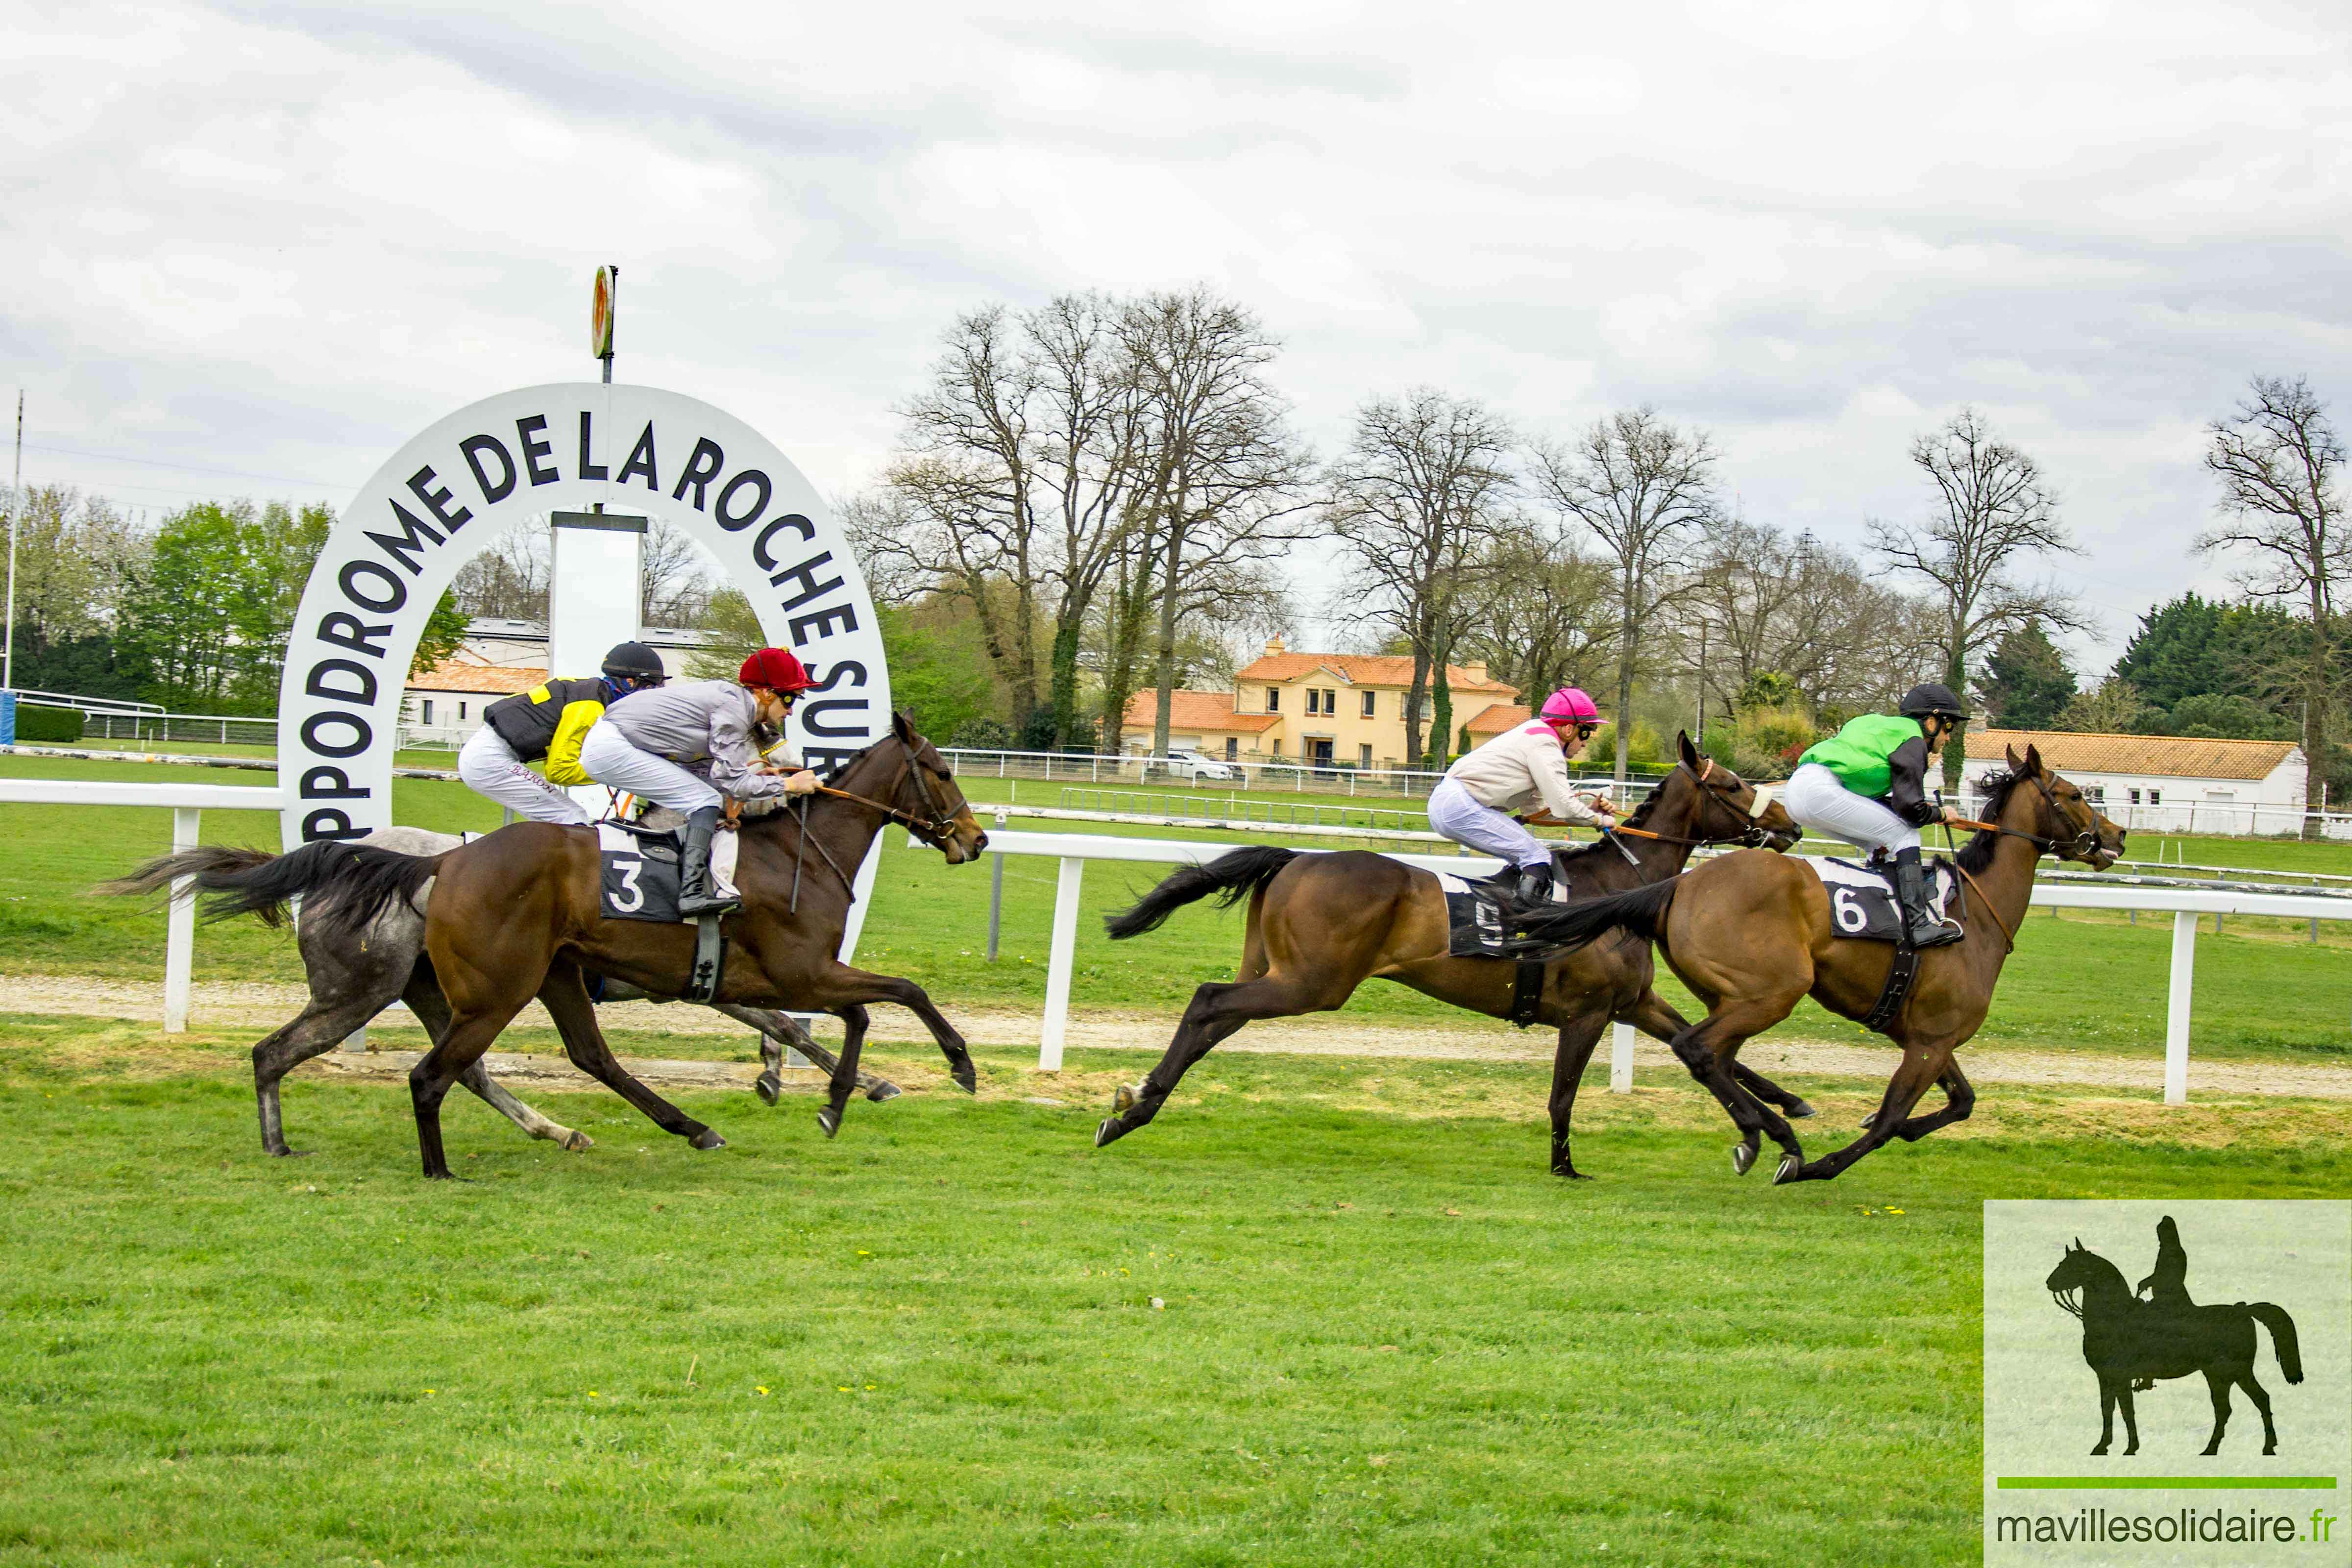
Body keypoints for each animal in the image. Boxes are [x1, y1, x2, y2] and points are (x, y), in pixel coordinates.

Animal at [112, 710, 983, 1175]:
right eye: (941, 772)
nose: (973, 841)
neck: (796, 852)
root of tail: (436, 864)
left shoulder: (755, 981)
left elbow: (835, 1019)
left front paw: (823, 1090)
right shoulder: (797, 971)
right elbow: (887, 1000)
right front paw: (929, 1073)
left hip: (507, 981)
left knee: (556, 1061)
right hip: (416, 987)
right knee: (378, 1065)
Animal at [1096, 738, 1797, 1175]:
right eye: (1733, 783)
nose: (1789, 826)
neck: (1616, 888)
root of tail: (1297, 856)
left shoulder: (1634, 1001)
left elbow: (1708, 1049)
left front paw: (1785, 1111)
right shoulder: (1589, 1012)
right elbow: (1564, 1095)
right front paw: (1566, 1166)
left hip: (1278, 972)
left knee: (1215, 1020)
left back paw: (1135, 1108)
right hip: (1312, 982)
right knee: (1207, 999)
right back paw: (1136, 1103)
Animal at [1505, 747, 2135, 1175]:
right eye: (2075, 794)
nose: (2118, 836)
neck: (1975, 912)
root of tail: (1679, 885)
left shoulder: (1928, 1035)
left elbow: (1962, 1102)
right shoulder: (1931, 1040)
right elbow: (1892, 1118)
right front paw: (1821, 1165)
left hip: (1734, 994)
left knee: (1717, 1056)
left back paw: (1762, 1128)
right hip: (1774, 990)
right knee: (1698, 1048)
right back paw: (1776, 1138)